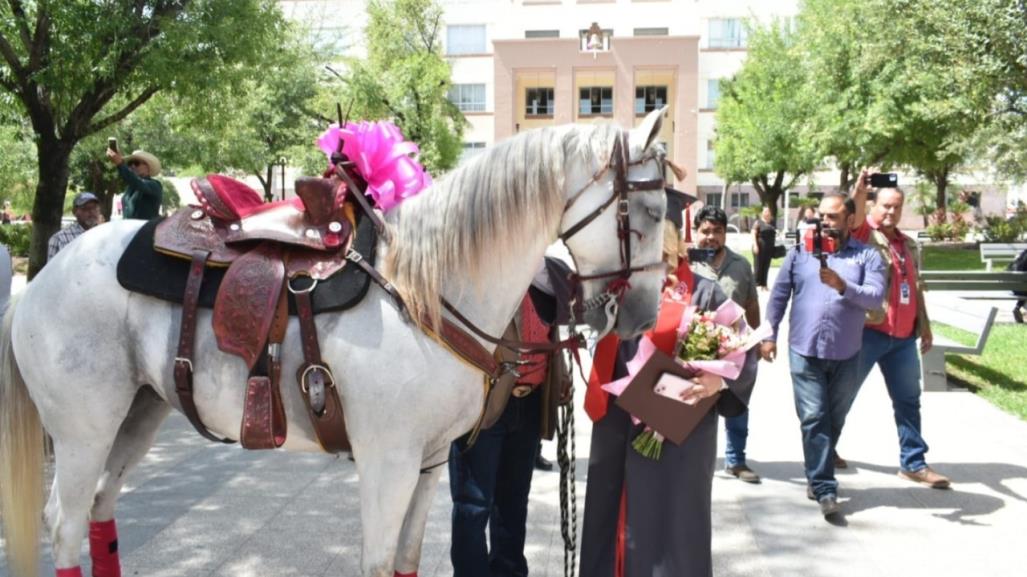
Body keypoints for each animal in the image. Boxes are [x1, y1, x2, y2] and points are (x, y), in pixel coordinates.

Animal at [0, 108, 669, 574]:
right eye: (653, 210)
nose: (641, 315)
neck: (423, 288)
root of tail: (37, 285)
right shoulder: (387, 461)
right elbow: (377, 562)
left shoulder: (429, 463)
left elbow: (406, 560)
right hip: (84, 429)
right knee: (63, 524)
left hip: (137, 415)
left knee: (99, 510)